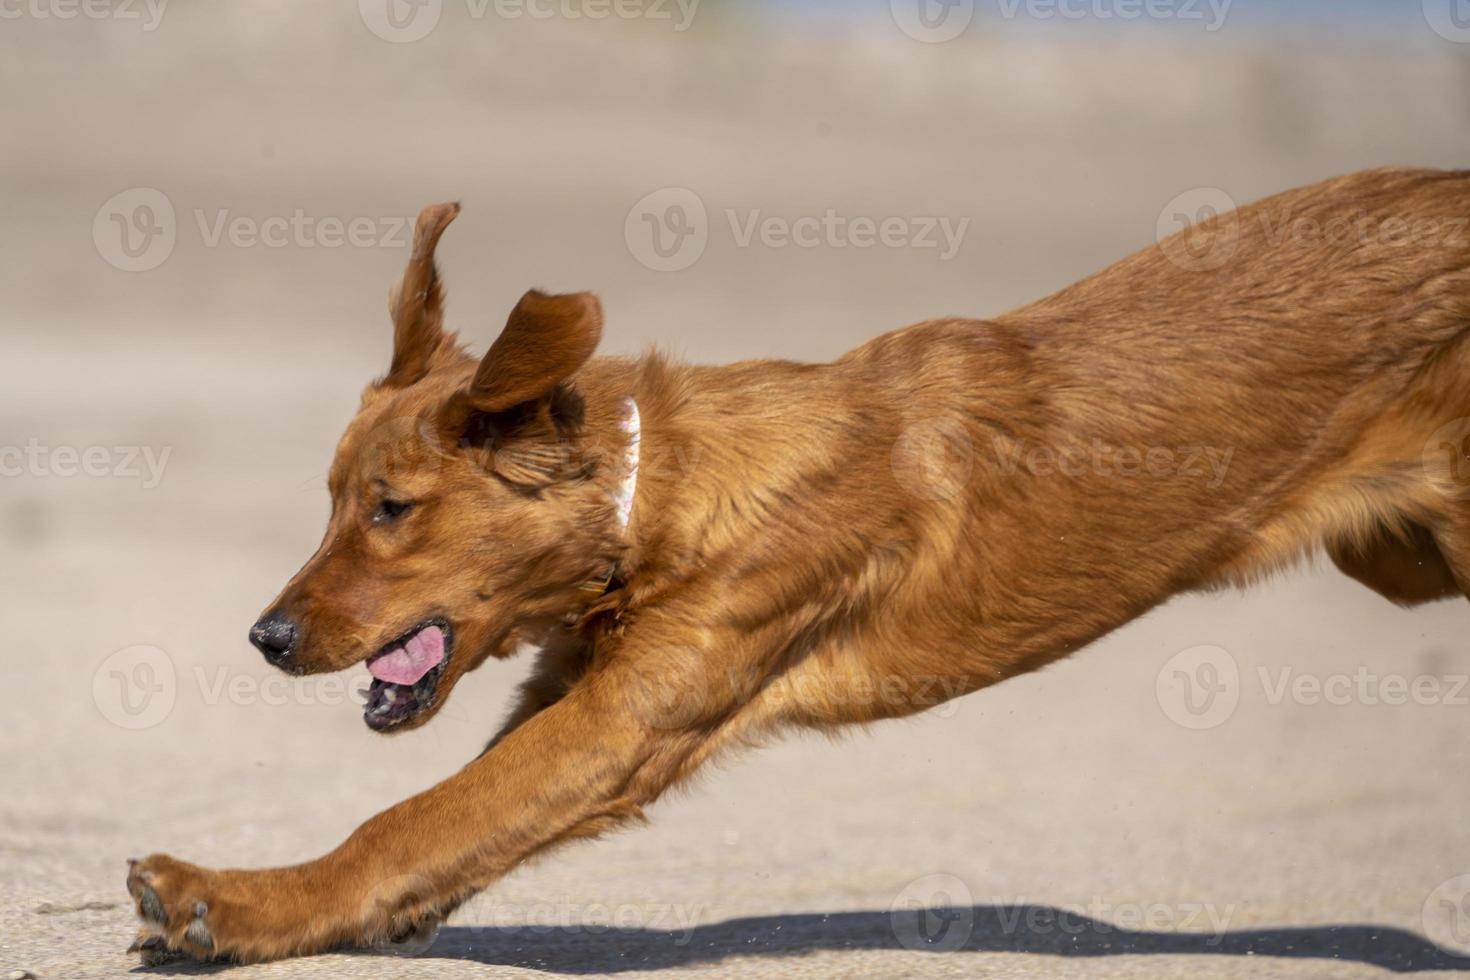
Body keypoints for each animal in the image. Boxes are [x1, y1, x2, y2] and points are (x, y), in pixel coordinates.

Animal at [126, 164, 1470, 963]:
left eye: (393, 508)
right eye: (331, 501)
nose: (265, 639)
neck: (655, 492)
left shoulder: (626, 719)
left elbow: (410, 819)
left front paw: (226, 900)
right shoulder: (585, 685)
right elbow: (449, 828)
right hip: (1400, 555)